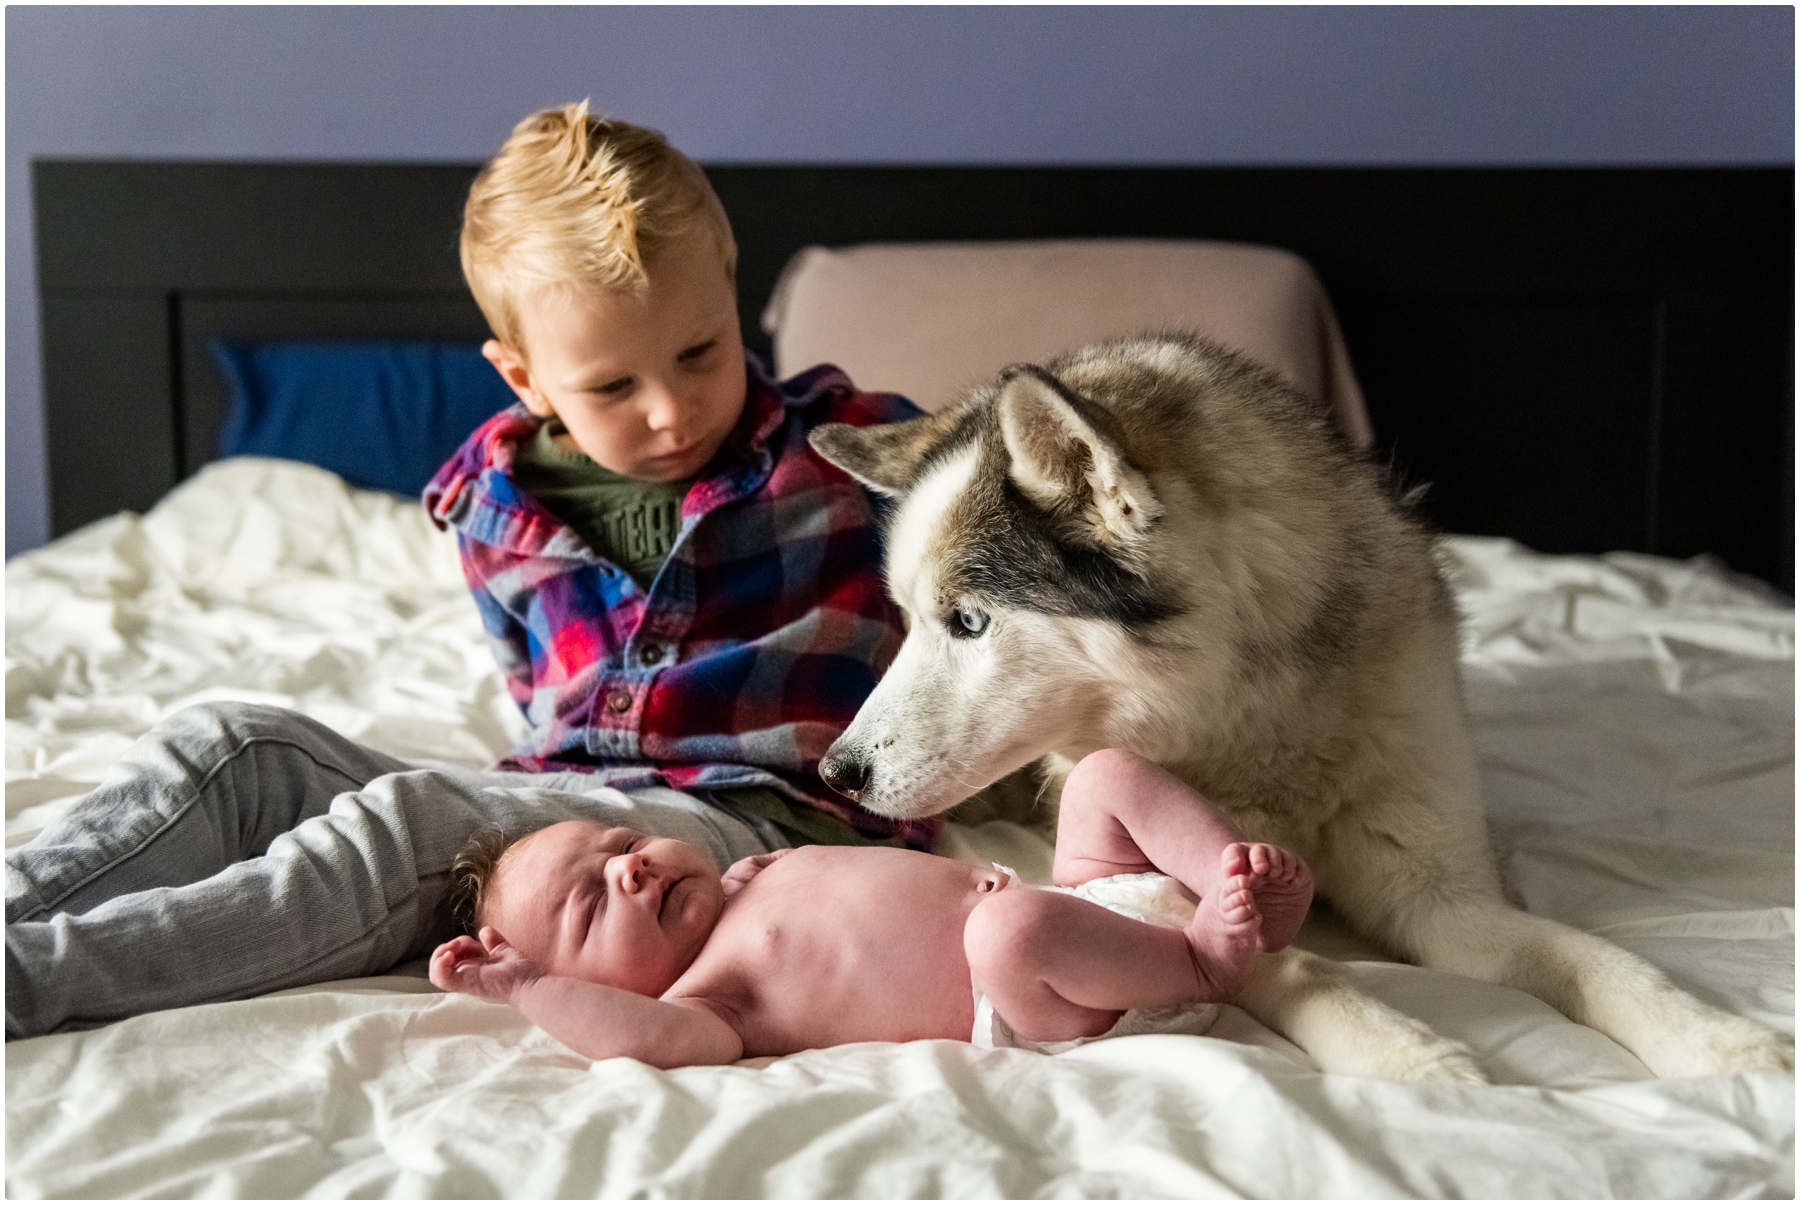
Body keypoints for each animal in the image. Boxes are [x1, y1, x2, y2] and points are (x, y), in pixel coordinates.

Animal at [813, 333, 1785, 1073]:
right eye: (907, 617)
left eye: (969, 620)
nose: (836, 771)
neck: (1259, 724)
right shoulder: (1182, 894)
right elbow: (1299, 969)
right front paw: (1416, 1056)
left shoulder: (1444, 899)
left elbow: (1596, 957)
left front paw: (1719, 1039)